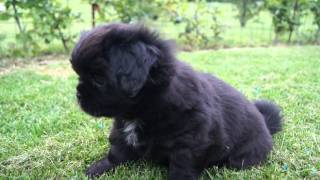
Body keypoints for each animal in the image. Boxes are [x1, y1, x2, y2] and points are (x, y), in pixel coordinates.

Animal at [70, 23, 282, 179]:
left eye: (99, 79)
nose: (78, 94)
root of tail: (265, 124)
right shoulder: (122, 129)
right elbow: (117, 152)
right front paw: (100, 168)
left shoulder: (189, 142)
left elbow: (182, 167)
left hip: (242, 156)